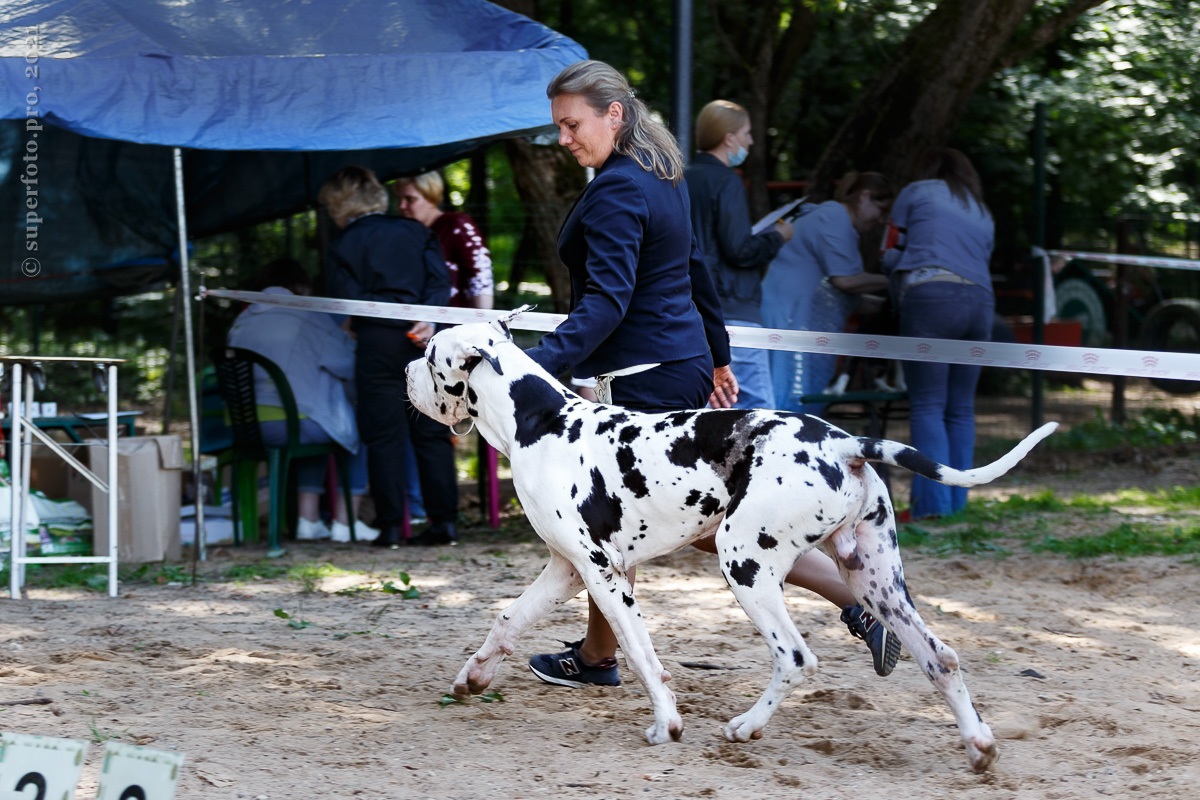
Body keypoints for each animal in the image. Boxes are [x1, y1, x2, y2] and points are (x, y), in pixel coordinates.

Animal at [408, 316, 1056, 772]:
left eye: (431, 353)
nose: (408, 371)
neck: (539, 422)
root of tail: (845, 441)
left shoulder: (602, 572)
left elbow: (643, 655)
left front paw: (666, 727)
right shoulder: (565, 569)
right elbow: (506, 621)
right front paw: (473, 678)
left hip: (742, 562)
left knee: (795, 657)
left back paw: (746, 727)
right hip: (873, 581)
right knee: (940, 657)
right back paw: (979, 745)